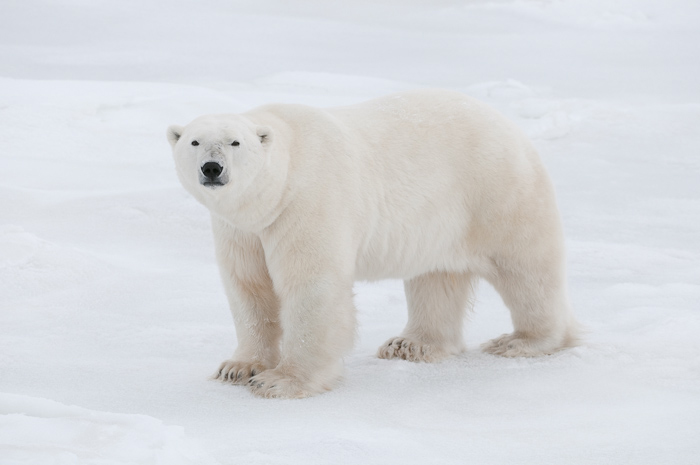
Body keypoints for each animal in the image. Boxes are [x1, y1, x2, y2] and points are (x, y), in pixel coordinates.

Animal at [167, 90, 576, 398]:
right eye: (194, 141)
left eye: (235, 142)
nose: (212, 168)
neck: (278, 186)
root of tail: (509, 126)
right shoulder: (241, 229)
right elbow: (249, 288)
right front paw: (237, 367)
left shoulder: (308, 201)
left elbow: (311, 286)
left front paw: (281, 381)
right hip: (441, 220)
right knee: (436, 278)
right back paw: (412, 344)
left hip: (495, 191)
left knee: (526, 269)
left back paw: (522, 341)